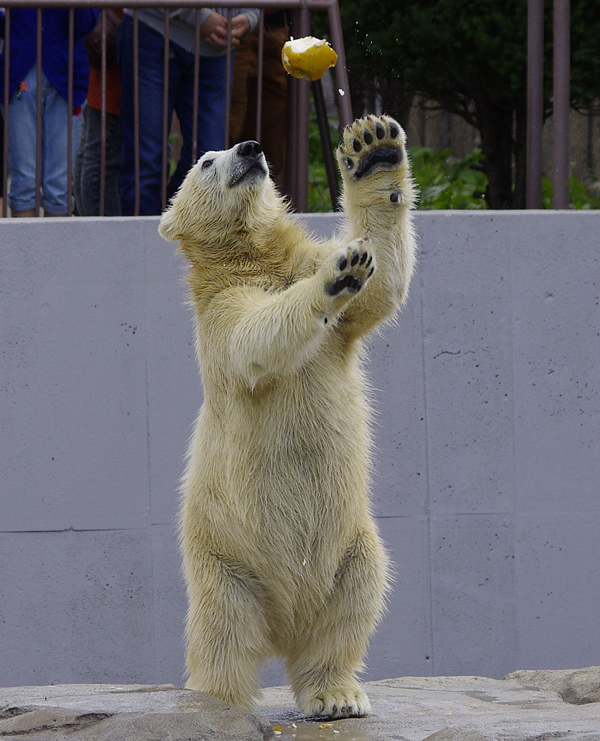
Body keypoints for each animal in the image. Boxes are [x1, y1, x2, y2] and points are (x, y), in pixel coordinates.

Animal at [159, 115, 418, 716]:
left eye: (238, 147)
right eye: (205, 161)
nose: (250, 147)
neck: (255, 257)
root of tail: (284, 625)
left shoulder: (337, 323)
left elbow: (383, 288)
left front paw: (374, 149)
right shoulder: (223, 313)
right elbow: (258, 338)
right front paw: (336, 274)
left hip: (351, 547)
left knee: (353, 604)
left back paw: (335, 693)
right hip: (223, 559)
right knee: (223, 632)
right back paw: (217, 700)